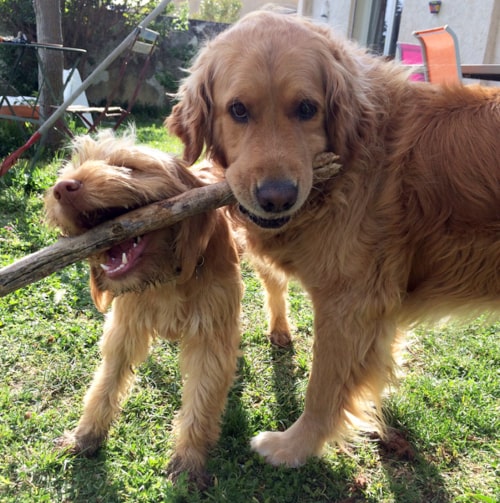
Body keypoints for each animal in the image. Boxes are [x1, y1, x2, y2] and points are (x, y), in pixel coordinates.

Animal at [45, 129, 244, 488]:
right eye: (73, 167)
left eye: (127, 167)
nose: (62, 188)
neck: (167, 274)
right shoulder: (124, 327)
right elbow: (107, 381)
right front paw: (86, 435)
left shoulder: (211, 332)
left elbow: (202, 396)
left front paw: (189, 459)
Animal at [167, 9, 500, 468]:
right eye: (238, 110)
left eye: (307, 108)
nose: (277, 197)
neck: (352, 163)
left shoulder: (350, 304)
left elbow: (323, 388)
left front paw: (294, 447)